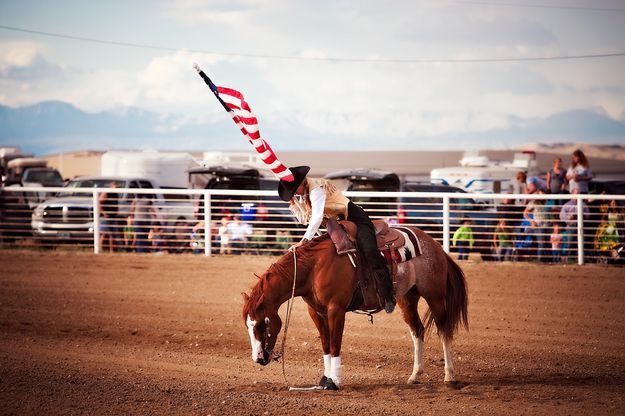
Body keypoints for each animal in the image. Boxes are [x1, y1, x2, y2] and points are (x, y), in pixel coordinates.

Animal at [241, 228, 466, 390]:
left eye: (260, 324)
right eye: (248, 326)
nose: (258, 358)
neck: (314, 269)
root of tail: (435, 245)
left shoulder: (336, 310)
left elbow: (335, 345)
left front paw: (334, 382)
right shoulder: (316, 312)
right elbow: (325, 345)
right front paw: (324, 379)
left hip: (435, 296)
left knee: (444, 330)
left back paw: (450, 375)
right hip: (407, 299)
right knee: (417, 331)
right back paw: (415, 376)